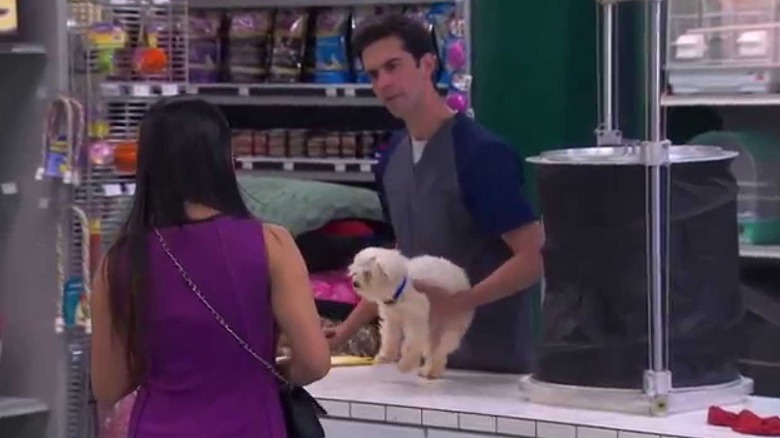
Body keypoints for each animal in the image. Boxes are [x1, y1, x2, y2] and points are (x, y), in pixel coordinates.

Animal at [348, 248, 476, 378]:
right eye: (355, 272)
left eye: (367, 273)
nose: (355, 283)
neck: (399, 289)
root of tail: (461, 274)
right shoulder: (391, 318)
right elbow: (390, 338)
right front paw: (386, 356)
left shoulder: (415, 320)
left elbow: (411, 344)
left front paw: (405, 365)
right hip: (433, 327)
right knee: (432, 349)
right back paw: (428, 370)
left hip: (452, 323)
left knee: (441, 350)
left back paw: (432, 370)